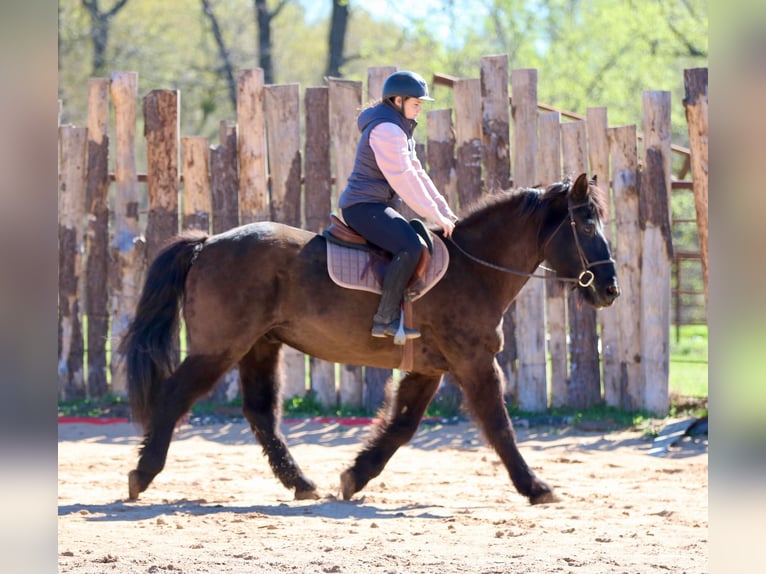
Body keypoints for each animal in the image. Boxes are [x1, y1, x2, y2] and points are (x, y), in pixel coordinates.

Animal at [121, 172, 619, 504]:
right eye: (586, 226)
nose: (609, 289)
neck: (473, 268)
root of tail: (207, 244)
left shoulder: (428, 370)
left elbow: (401, 426)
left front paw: (355, 476)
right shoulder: (474, 363)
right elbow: (499, 426)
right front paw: (536, 487)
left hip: (260, 346)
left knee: (261, 413)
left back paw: (301, 483)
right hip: (218, 349)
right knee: (175, 396)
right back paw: (142, 474)